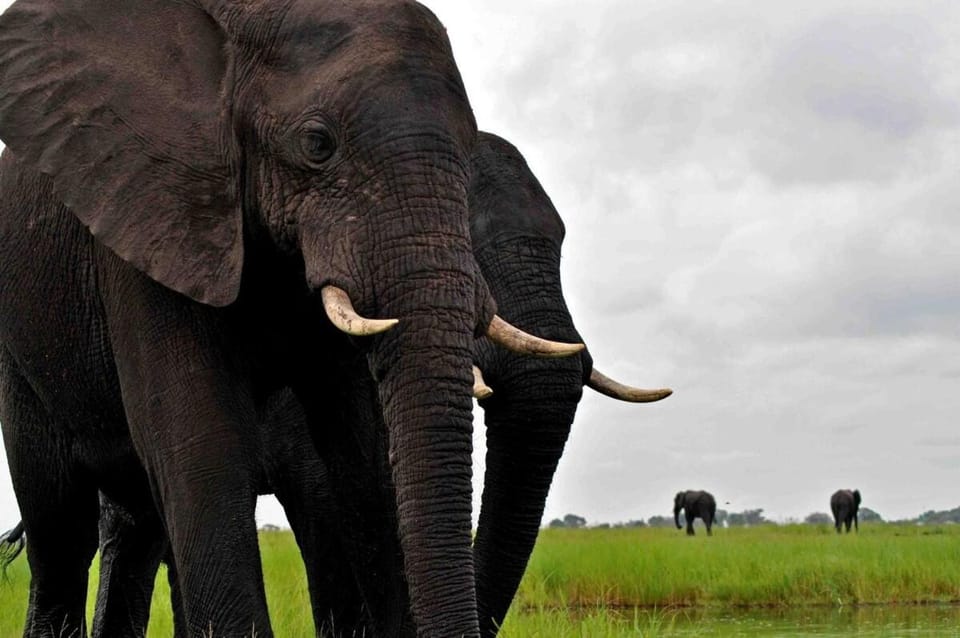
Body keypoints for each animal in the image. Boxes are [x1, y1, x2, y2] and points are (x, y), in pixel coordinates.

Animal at [0, 1, 583, 636]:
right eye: (317, 144)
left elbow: (362, 458)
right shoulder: (151, 214)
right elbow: (207, 451)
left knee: (137, 528)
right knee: (61, 532)